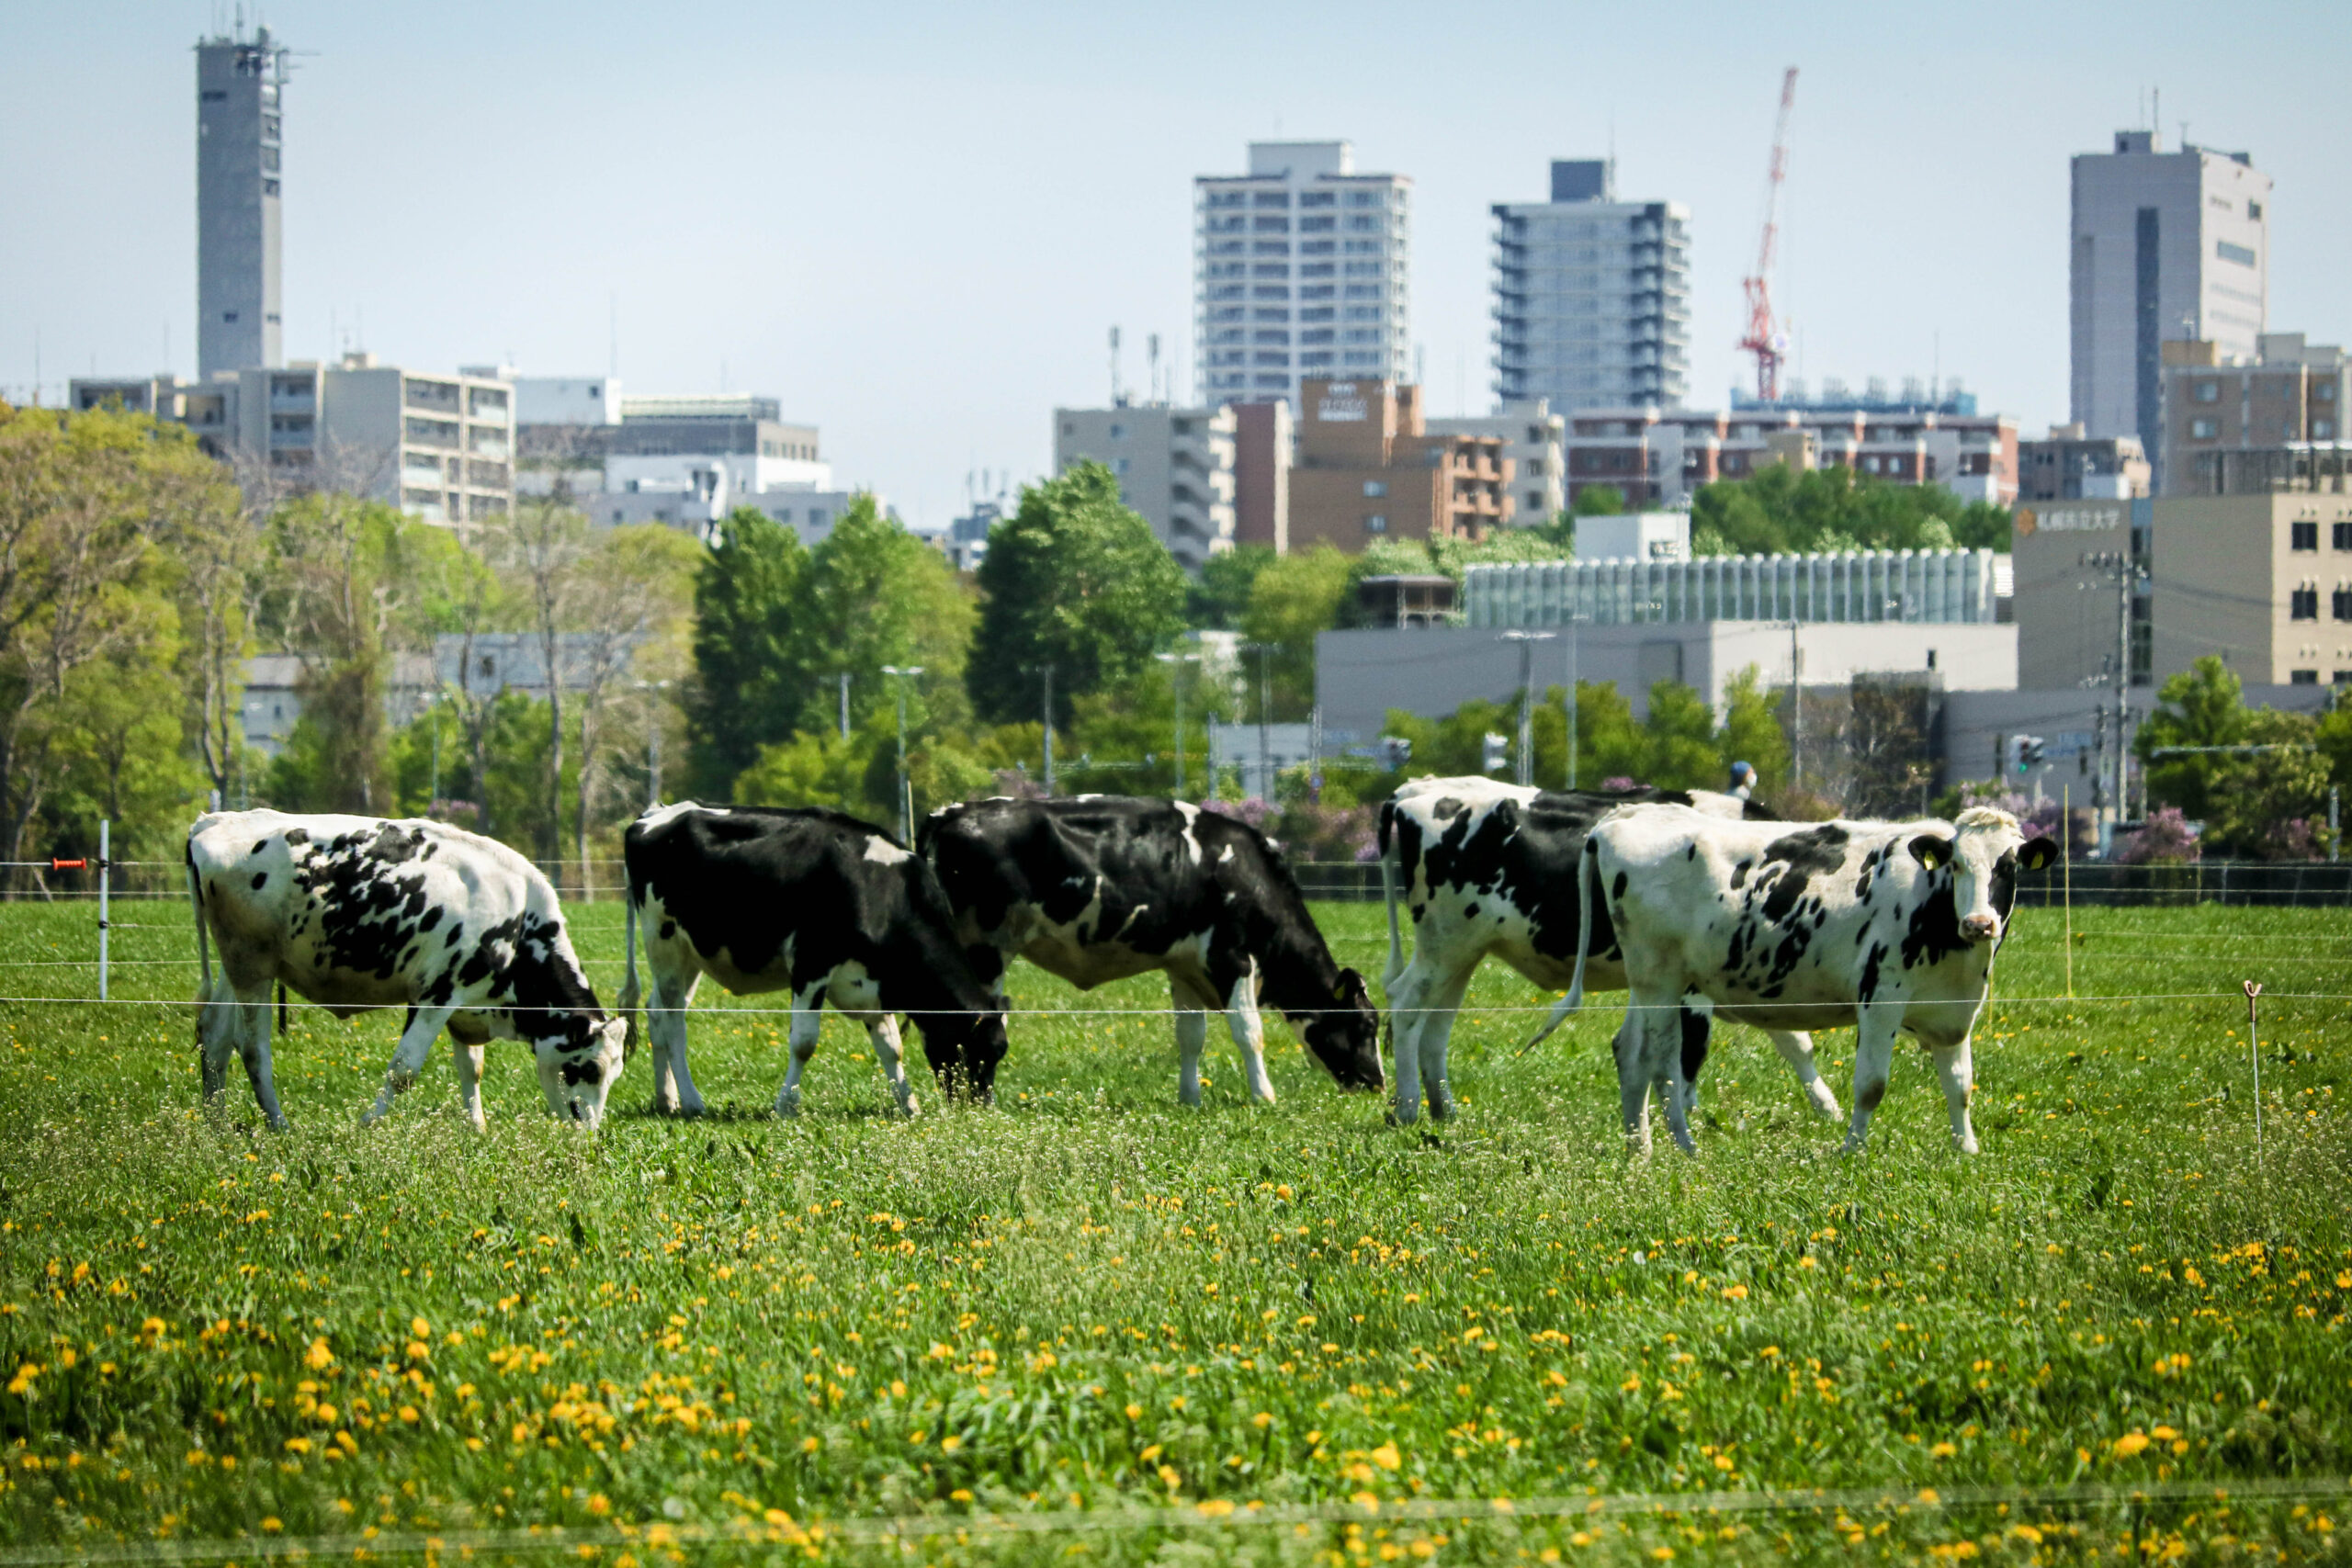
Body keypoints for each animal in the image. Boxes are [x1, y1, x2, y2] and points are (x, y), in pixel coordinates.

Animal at [184, 818, 630, 1133]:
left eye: (616, 1073)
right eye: (590, 1068)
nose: (588, 1132)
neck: (519, 921)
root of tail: (215, 820)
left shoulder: (464, 1003)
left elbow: (471, 1066)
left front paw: (477, 1128)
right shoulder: (436, 994)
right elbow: (404, 1070)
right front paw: (366, 1124)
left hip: (237, 966)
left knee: (215, 1036)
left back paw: (216, 1124)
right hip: (252, 967)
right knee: (252, 1047)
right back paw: (279, 1125)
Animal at [620, 808, 1006, 1114]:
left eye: (999, 1054)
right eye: (979, 1052)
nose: (979, 1108)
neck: (876, 888)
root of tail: (653, 815)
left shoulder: (870, 983)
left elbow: (891, 1047)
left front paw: (908, 1104)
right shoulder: (811, 964)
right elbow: (804, 1043)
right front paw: (786, 1105)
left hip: (692, 954)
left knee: (657, 1011)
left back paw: (666, 1098)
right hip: (663, 941)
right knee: (673, 1019)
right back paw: (691, 1101)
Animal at [917, 799, 1383, 1104]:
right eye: (1367, 1025)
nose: (1377, 1082)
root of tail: (950, 813)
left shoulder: (1184, 966)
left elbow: (1191, 1036)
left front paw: (1190, 1098)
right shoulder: (1232, 958)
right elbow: (1249, 1032)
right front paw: (1263, 1096)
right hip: (984, 951)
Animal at [1374, 780, 1844, 1128]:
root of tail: (1416, 789)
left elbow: (1795, 1042)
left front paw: (1830, 1110)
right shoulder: (1694, 983)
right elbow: (1691, 1048)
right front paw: (1686, 1113)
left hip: (1461, 951)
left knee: (1435, 1026)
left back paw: (1445, 1110)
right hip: (1445, 942)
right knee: (1406, 1004)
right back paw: (1410, 1108)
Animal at [1561, 804, 2060, 1161]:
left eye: (2008, 867)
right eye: (1955, 865)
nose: (1978, 923)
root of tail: (1629, 814)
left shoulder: (1954, 1009)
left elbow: (1960, 1084)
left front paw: (1967, 1150)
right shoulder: (1881, 997)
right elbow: (1872, 1084)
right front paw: (1852, 1150)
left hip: (1649, 983)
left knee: (1631, 1054)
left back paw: (1639, 1151)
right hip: (1662, 982)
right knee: (1661, 1063)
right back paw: (1685, 1148)